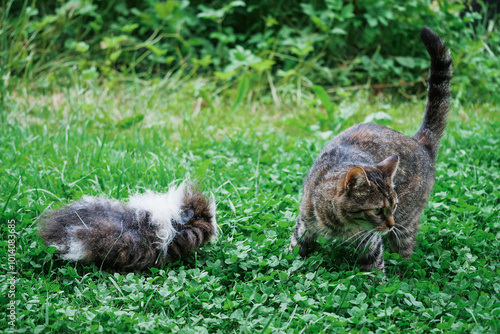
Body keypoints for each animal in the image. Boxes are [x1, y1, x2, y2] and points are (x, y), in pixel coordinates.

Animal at [290, 26, 454, 272]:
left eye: (394, 206)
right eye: (377, 210)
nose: (390, 224)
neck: (338, 224)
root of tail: (419, 141)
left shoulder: (370, 240)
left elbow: (375, 268)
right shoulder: (303, 223)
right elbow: (293, 250)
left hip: (406, 226)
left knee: (405, 253)